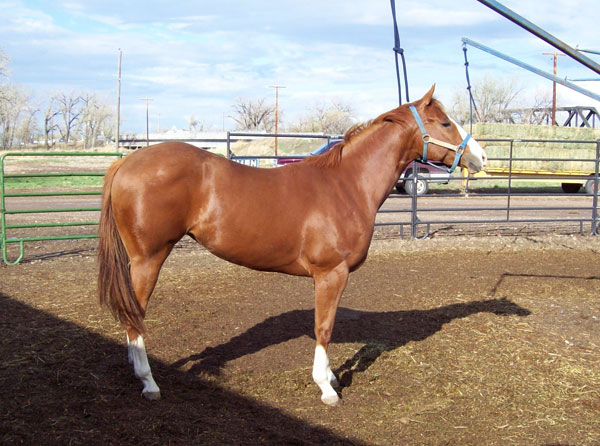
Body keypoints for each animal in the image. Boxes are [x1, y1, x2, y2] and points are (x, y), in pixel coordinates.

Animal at [96, 85, 486, 406]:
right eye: (445, 123)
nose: (480, 157)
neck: (347, 184)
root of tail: (126, 161)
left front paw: (330, 378)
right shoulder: (331, 274)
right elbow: (323, 327)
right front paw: (326, 388)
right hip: (148, 259)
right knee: (135, 316)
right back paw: (149, 382)